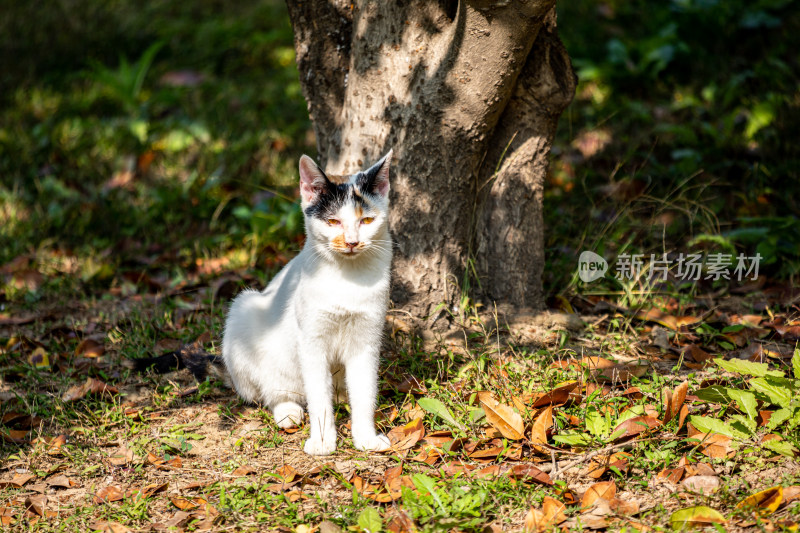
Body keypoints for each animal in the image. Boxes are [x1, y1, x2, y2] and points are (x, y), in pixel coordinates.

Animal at [133, 149, 396, 454]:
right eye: (333, 222)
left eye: (366, 221)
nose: (352, 242)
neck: (348, 277)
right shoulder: (311, 341)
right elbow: (318, 396)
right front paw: (322, 441)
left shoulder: (367, 339)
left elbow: (365, 391)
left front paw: (365, 438)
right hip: (243, 311)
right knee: (267, 392)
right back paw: (288, 410)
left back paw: (341, 397)